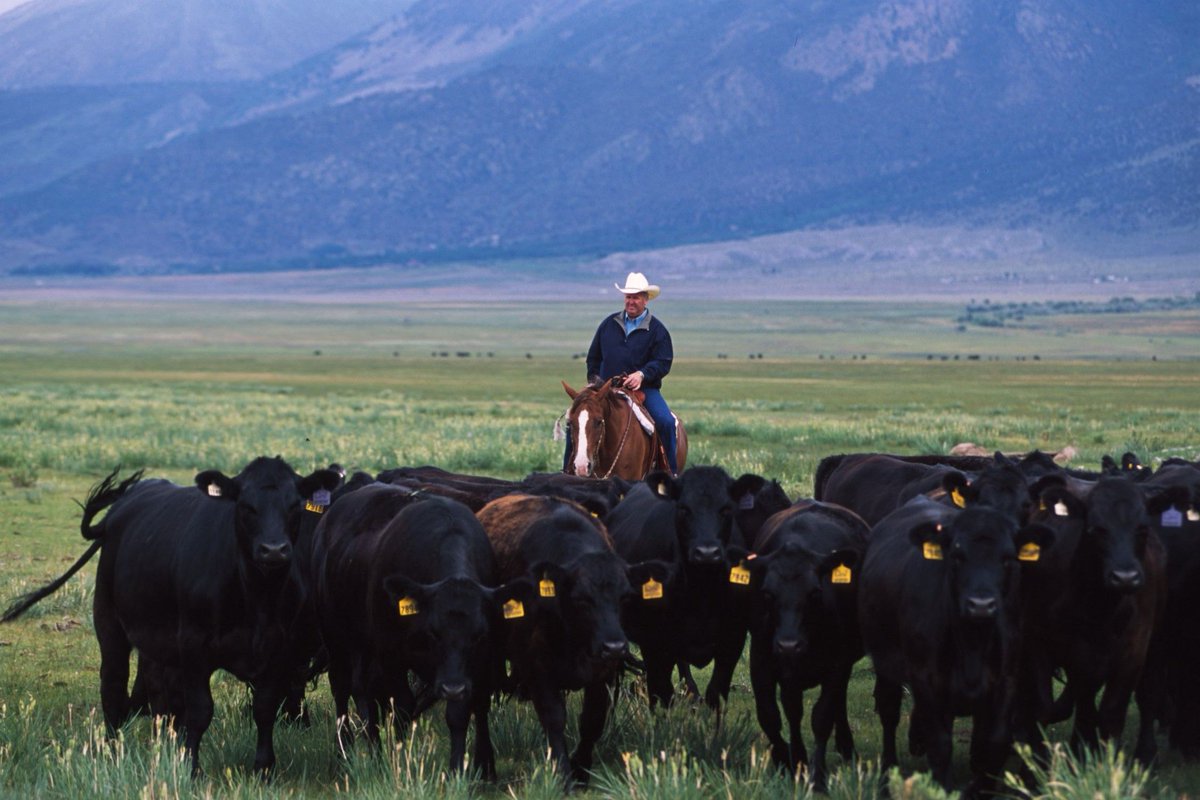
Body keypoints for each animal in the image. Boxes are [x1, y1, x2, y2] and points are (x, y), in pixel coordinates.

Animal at [3, 458, 343, 776]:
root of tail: (121, 508)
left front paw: (263, 768)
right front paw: (191, 767)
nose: (273, 550)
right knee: (113, 688)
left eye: (294, 505)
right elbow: (200, 711)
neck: (254, 596)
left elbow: (264, 709)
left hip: (158, 644)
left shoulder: (278, 651)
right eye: (246, 506)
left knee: (159, 695)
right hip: (110, 625)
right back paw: (112, 751)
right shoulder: (193, 647)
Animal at [312, 485, 527, 777]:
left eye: (479, 635)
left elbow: (464, 711)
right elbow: (402, 707)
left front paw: (462, 770)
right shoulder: (392, 655)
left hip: (363, 647)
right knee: (343, 690)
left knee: (364, 691)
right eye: (434, 632)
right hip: (336, 638)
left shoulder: (475, 664)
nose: (452, 688)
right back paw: (345, 752)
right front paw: (401, 760)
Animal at [476, 493, 668, 785]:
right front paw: (564, 774)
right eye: (581, 599)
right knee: (480, 707)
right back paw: (485, 765)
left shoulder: (605, 671)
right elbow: (554, 718)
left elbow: (593, 718)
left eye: (625, 596)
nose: (615, 646)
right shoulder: (537, 666)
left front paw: (581, 767)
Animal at [743, 500, 868, 790]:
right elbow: (770, 715)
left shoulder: (838, 662)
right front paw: (789, 762)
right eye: (767, 593)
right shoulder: (761, 658)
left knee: (838, 702)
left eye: (815, 592)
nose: (789, 644)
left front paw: (817, 776)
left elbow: (822, 717)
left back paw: (846, 746)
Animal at [858, 497, 1054, 796]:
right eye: (957, 556)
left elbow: (993, 743)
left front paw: (980, 788)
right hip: (886, 664)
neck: (972, 644)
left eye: (1007, 558)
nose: (981, 605)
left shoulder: (1006, 680)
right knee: (889, 714)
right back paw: (886, 776)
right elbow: (940, 744)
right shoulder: (925, 679)